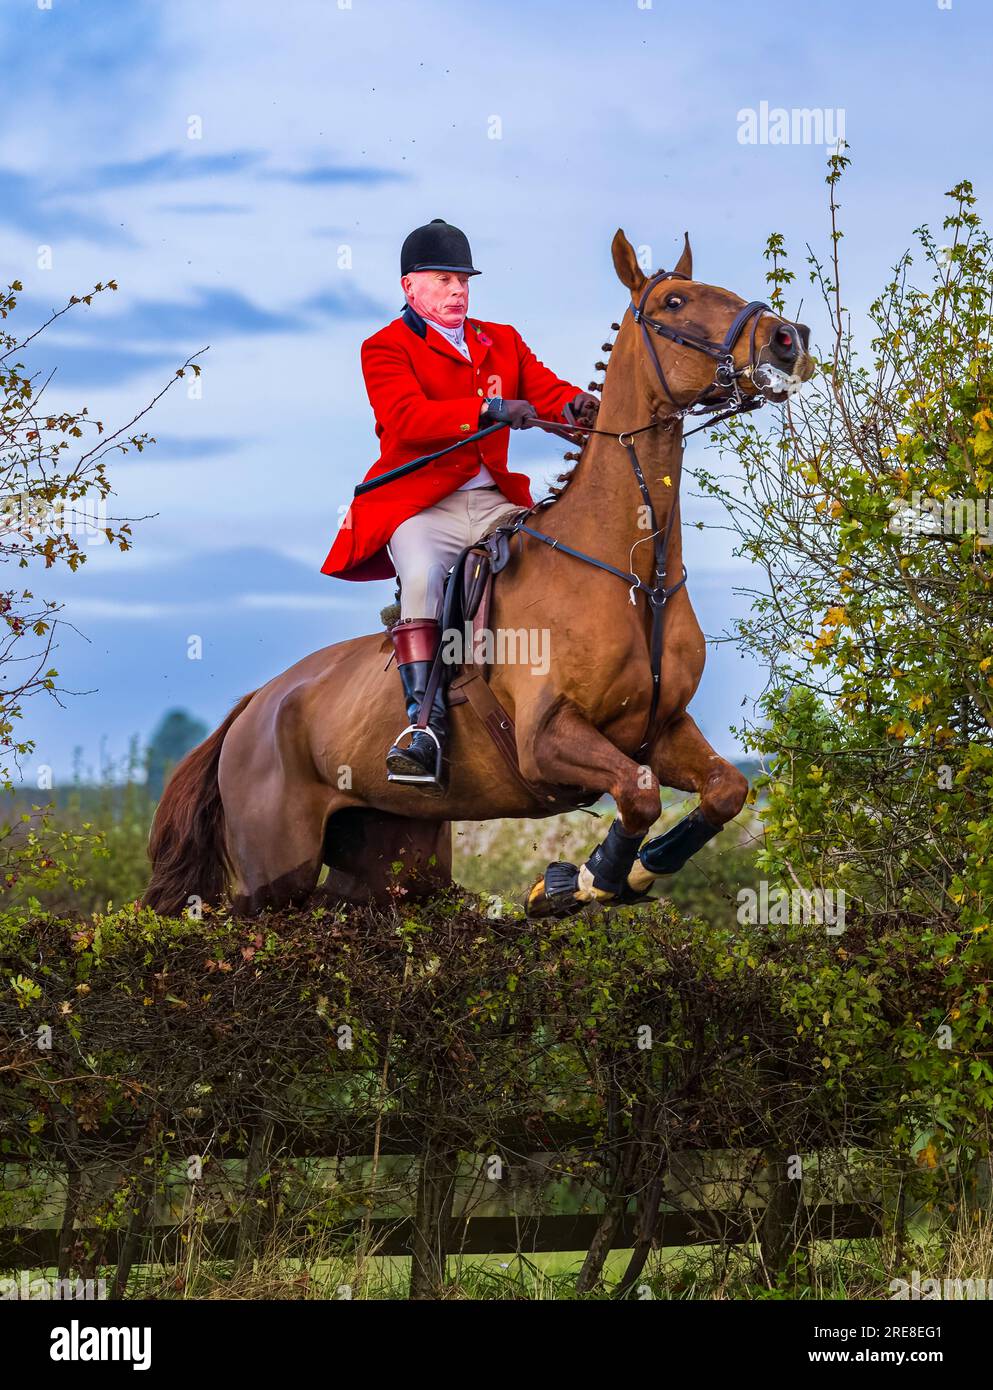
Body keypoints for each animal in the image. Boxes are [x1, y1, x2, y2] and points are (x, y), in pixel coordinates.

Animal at [146, 232, 812, 917]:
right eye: (674, 303)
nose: (789, 340)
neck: (636, 578)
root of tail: (255, 702)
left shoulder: (662, 730)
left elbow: (724, 788)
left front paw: (629, 870)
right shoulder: (547, 738)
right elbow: (639, 793)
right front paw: (584, 878)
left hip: (393, 858)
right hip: (275, 873)